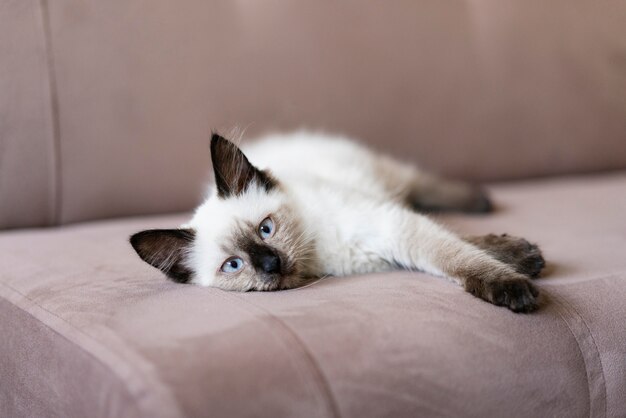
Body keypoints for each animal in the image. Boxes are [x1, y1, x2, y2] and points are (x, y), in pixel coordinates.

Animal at [129, 132, 544, 312]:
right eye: (233, 266)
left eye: (266, 229)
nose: (271, 264)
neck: (319, 255)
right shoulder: (390, 240)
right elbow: (462, 247)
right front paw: (521, 261)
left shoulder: (390, 225)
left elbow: (458, 254)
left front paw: (518, 273)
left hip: (387, 177)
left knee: (423, 186)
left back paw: (481, 200)